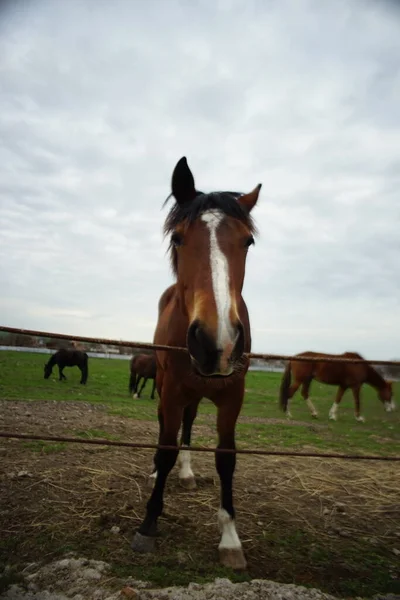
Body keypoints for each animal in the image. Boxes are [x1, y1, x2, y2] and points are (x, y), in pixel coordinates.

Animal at [131, 155, 262, 568]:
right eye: (177, 238)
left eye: (248, 241)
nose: (215, 343)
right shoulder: (172, 390)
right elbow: (165, 448)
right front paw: (148, 523)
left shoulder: (233, 396)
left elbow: (226, 459)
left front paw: (230, 538)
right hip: (164, 385)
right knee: (166, 429)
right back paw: (157, 474)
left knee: (187, 426)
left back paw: (186, 473)